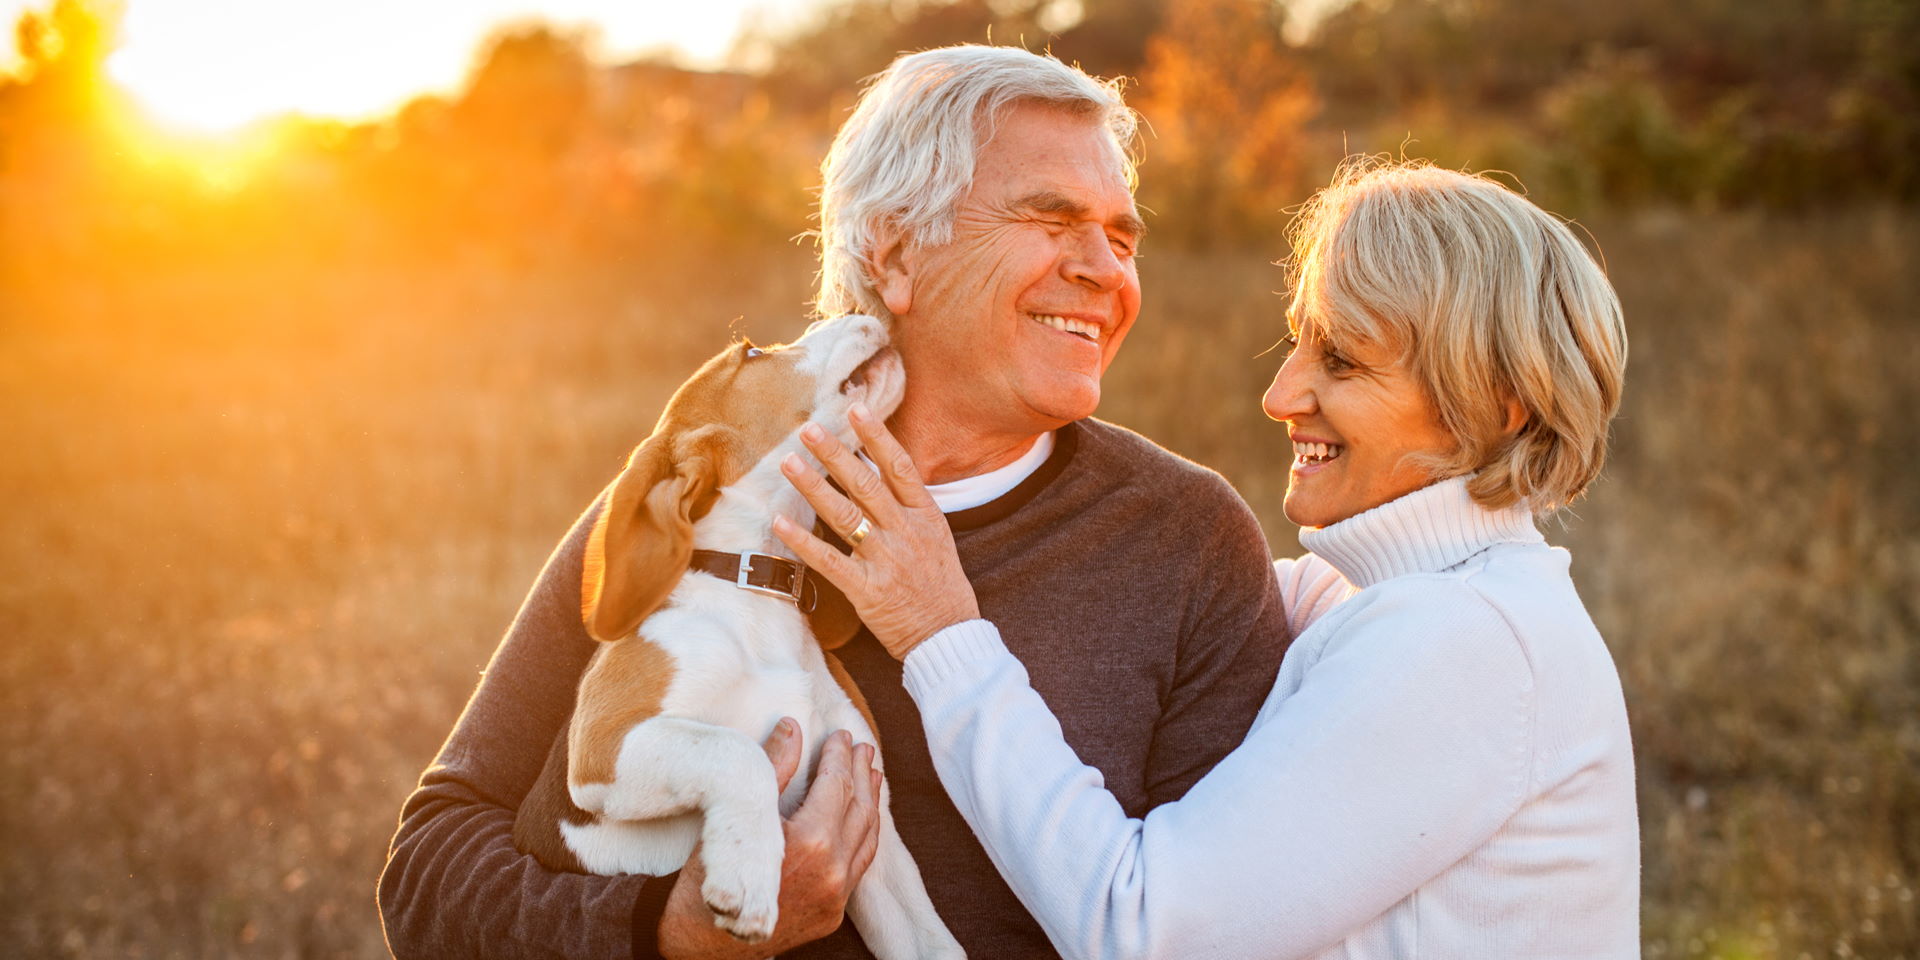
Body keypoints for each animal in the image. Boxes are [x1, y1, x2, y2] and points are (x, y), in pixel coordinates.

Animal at [514, 316, 967, 960]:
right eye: (751, 354)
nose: (863, 311)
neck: (756, 592)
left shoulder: (875, 833)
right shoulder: (604, 749)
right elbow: (736, 751)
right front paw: (748, 876)